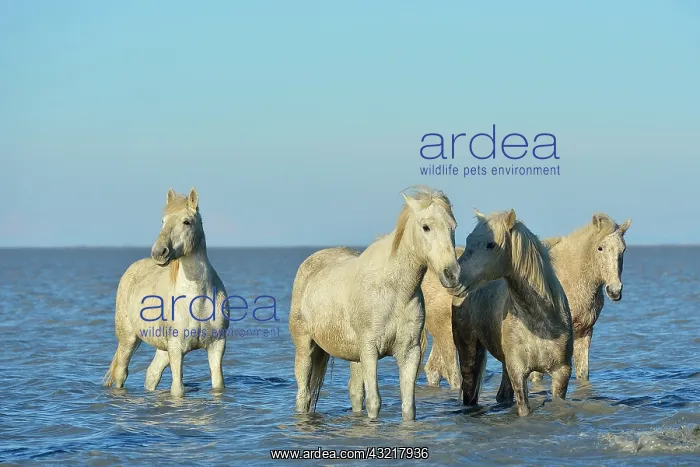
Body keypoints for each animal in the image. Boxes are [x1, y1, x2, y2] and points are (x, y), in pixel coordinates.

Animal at [103, 188, 230, 397]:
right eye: (163, 221)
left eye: (187, 222)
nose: (159, 252)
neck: (197, 300)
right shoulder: (176, 348)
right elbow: (177, 389)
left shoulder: (216, 345)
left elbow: (218, 384)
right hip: (128, 340)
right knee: (121, 373)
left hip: (163, 349)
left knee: (152, 374)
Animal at [289, 186, 462, 421]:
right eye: (426, 227)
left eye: (453, 227)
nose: (451, 274)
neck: (394, 290)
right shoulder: (370, 351)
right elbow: (374, 402)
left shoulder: (409, 352)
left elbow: (408, 406)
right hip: (305, 347)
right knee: (303, 394)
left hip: (355, 357)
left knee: (354, 392)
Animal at [420, 213, 630, 391]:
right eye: (600, 248)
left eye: (623, 250)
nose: (614, 290)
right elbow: (537, 376)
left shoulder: (584, 334)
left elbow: (583, 375)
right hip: (448, 336)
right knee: (453, 374)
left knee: (433, 369)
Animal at [451, 209, 573, 416]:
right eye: (468, 240)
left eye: (491, 244)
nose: (452, 277)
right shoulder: (518, 371)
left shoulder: (561, 372)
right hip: (468, 355)